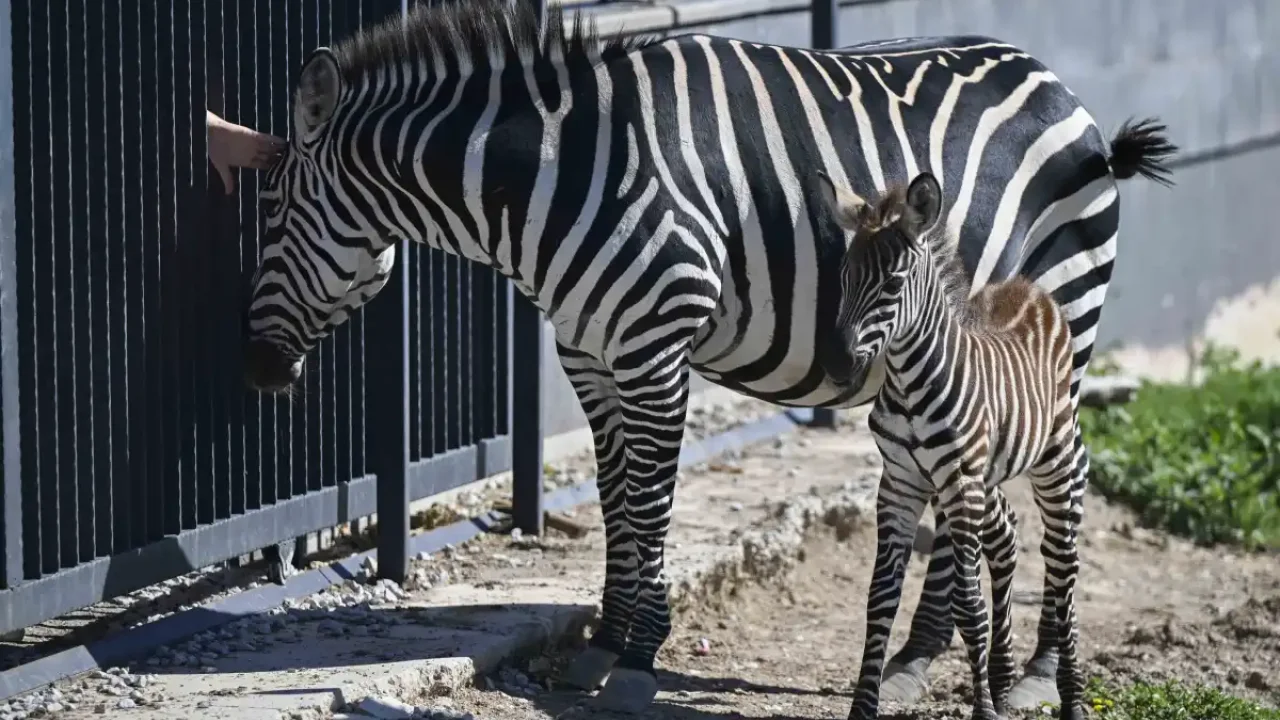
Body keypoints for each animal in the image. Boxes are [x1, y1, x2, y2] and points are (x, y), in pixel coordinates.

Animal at [816, 168, 1143, 720]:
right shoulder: (900, 482)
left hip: (1051, 457)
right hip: (984, 475)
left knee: (1064, 561)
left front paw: (984, 709)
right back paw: (1006, 677)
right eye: (843, 277)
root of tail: (1029, 287)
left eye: (893, 284)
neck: (908, 384)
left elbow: (968, 606)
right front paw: (864, 707)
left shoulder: (958, 481)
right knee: (1008, 535)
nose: (838, 365)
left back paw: (1070, 697)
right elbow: (880, 597)